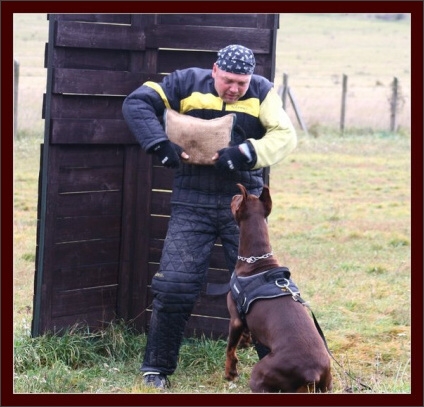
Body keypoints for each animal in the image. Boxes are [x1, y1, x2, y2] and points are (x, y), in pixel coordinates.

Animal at [225, 184, 332, 392]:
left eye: (237, 200)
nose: (232, 195)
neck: (256, 261)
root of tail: (312, 373)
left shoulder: (235, 319)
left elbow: (229, 349)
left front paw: (229, 373)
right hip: (327, 382)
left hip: (259, 374)